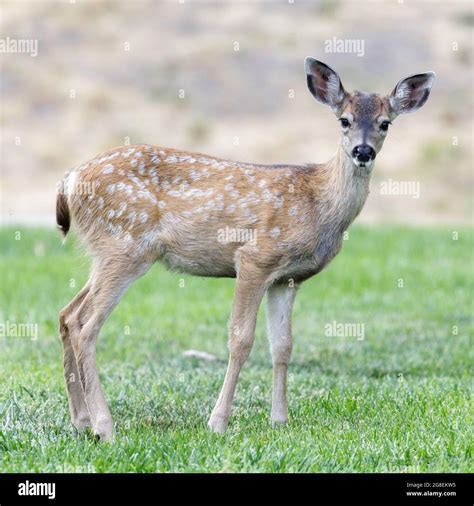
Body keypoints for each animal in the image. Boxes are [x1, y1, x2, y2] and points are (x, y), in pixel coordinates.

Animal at [55, 57, 434, 440]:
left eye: (385, 123)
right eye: (345, 120)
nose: (363, 151)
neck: (318, 202)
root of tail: (69, 181)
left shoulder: (288, 278)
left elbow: (282, 345)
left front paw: (280, 419)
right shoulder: (256, 258)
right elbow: (241, 341)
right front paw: (217, 422)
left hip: (106, 251)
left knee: (67, 314)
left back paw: (81, 420)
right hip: (125, 244)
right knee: (86, 324)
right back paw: (104, 426)